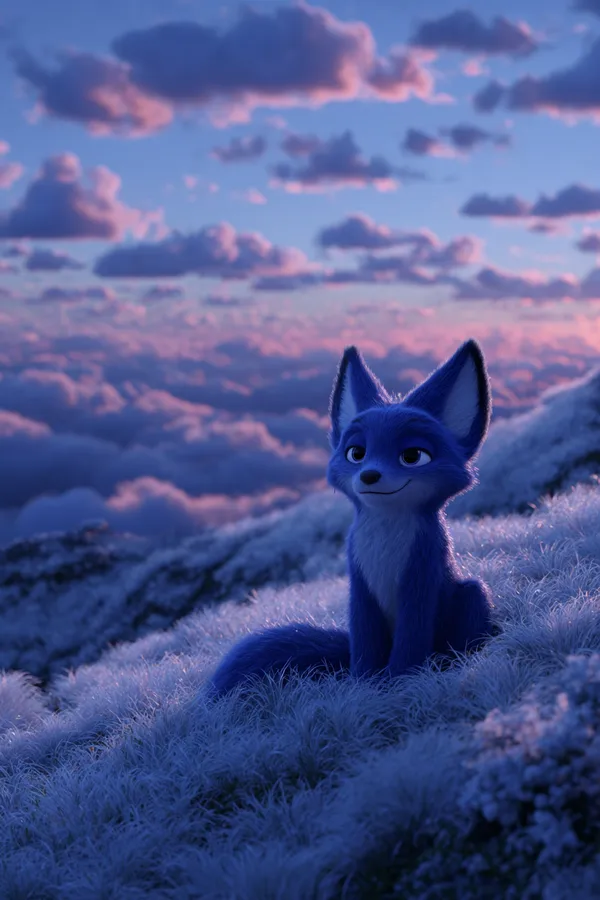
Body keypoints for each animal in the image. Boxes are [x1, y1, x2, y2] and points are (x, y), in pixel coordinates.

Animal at [209, 339, 493, 696]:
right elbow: (365, 642)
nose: (369, 475)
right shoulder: (359, 581)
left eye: (413, 456)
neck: (385, 538)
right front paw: (363, 686)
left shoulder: (420, 576)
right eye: (356, 453)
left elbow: (411, 640)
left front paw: (400, 682)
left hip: (470, 594)